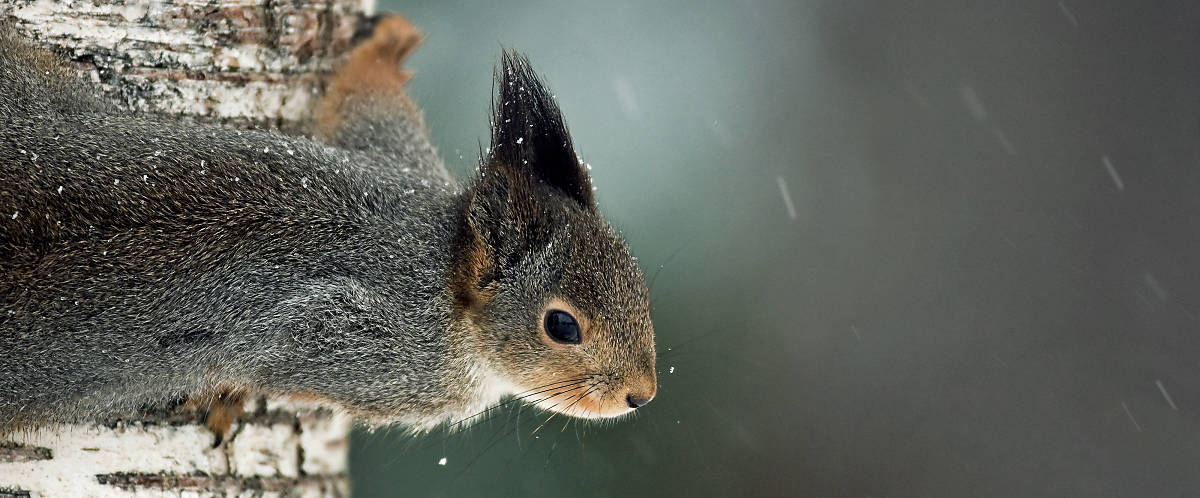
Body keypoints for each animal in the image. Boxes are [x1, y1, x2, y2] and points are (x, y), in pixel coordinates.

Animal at [0, 16, 657, 444]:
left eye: (635, 278)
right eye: (562, 326)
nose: (642, 394)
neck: (442, 271)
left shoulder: (399, 163)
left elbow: (360, 100)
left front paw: (389, 41)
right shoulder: (367, 352)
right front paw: (226, 399)